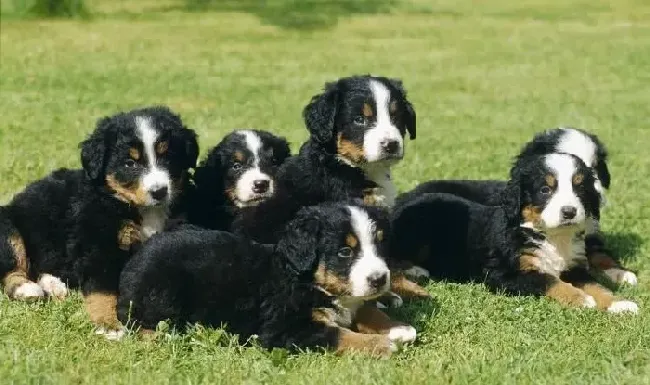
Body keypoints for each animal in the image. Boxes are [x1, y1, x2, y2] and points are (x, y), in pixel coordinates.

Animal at [0, 105, 197, 336]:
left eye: (167, 157)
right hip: (8, 226)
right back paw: (27, 289)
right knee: (12, 267)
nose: (159, 192)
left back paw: (53, 284)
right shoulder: (98, 247)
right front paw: (110, 325)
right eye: (129, 163)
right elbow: (103, 292)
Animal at [118, 202, 416, 356]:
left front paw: (397, 328)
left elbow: (366, 310)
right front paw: (382, 344)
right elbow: (338, 334)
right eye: (345, 252)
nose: (379, 279)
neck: (307, 280)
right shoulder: (284, 328)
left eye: (380, 246)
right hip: (162, 296)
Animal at [388, 152, 636, 314]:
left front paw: (618, 303)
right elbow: (548, 280)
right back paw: (415, 270)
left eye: (580, 188)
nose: (569, 212)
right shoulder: (505, 273)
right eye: (545, 190)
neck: (552, 237)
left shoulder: (574, 267)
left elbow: (596, 285)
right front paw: (580, 298)